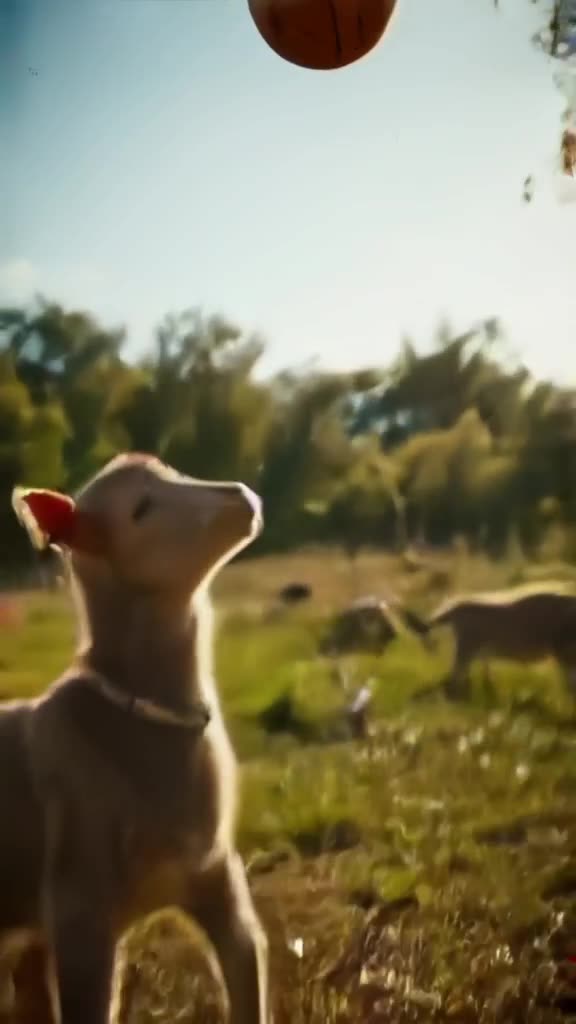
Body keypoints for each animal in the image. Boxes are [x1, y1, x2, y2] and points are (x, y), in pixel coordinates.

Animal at [0, 453, 270, 1024]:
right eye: (141, 508)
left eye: (176, 472)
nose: (240, 496)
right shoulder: (79, 913)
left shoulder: (218, 874)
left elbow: (248, 977)